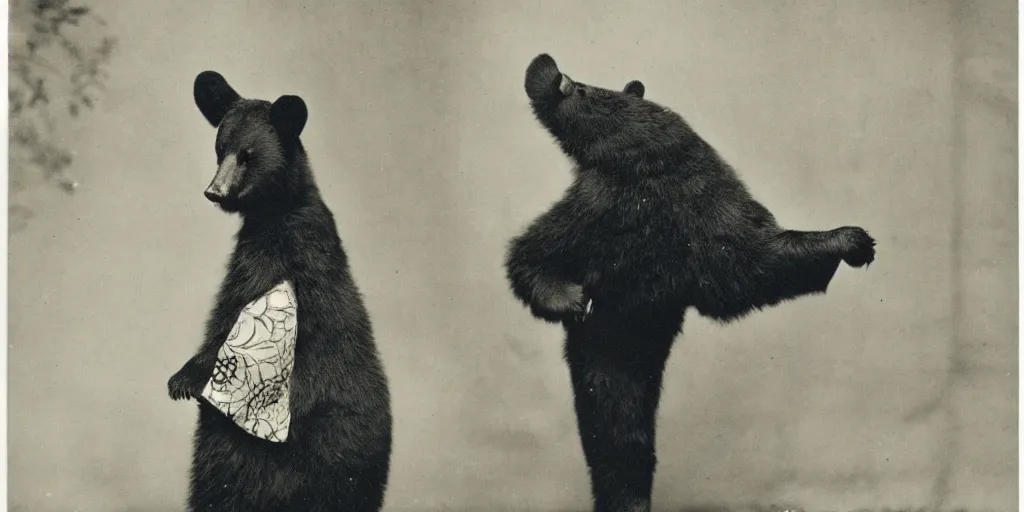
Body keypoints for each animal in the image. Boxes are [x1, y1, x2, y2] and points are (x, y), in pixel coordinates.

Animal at [167, 72, 391, 512]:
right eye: (220, 150)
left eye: (248, 155)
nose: (214, 191)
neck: (279, 207)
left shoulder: (277, 254)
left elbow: (230, 313)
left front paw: (183, 378)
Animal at [503, 55, 872, 512]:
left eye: (583, 89)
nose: (549, 70)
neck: (645, 157)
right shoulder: (603, 205)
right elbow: (533, 254)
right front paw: (572, 299)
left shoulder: (683, 198)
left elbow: (752, 262)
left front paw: (849, 240)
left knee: (621, 429)